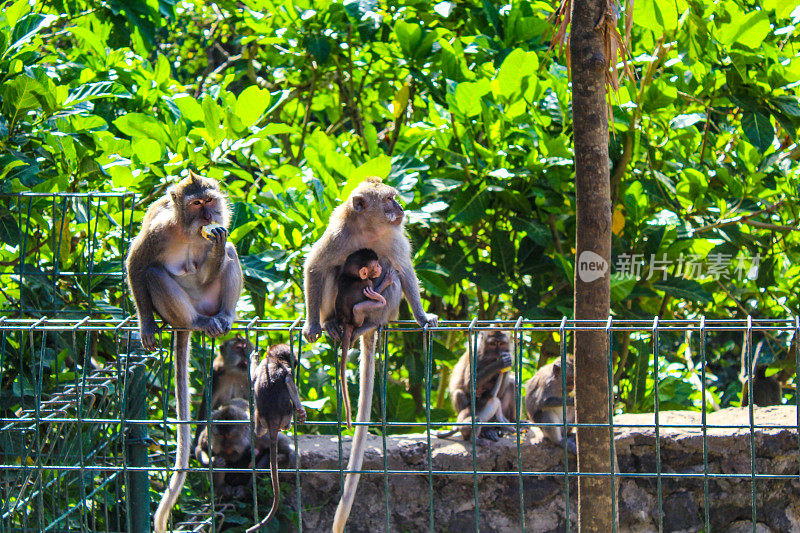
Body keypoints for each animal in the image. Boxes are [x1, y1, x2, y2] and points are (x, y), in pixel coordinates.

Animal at [124, 171, 244, 532]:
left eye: (209, 201)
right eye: (195, 204)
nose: (207, 216)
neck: (186, 229)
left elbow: (222, 247)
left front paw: (217, 242)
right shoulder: (158, 231)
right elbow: (137, 264)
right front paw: (146, 325)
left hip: (210, 296)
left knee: (229, 253)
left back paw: (224, 316)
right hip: (180, 310)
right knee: (153, 273)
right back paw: (195, 322)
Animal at [247, 342, 306, 528]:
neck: (274, 359)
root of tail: (272, 421)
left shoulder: (263, 366)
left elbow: (253, 377)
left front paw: (253, 359)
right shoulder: (287, 369)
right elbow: (289, 382)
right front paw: (301, 410)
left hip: (260, 418)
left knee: (258, 430)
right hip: (286, 415)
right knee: (290, 404)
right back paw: (292, 419)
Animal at [332, 248, 396, 428]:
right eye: (376, 265)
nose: (380, 268)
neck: (353, 276)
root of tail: (346, 322)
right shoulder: (367, 283)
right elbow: (371, 291)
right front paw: (386, 281)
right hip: (356, 317)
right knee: (360, 308)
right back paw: (378, 303)